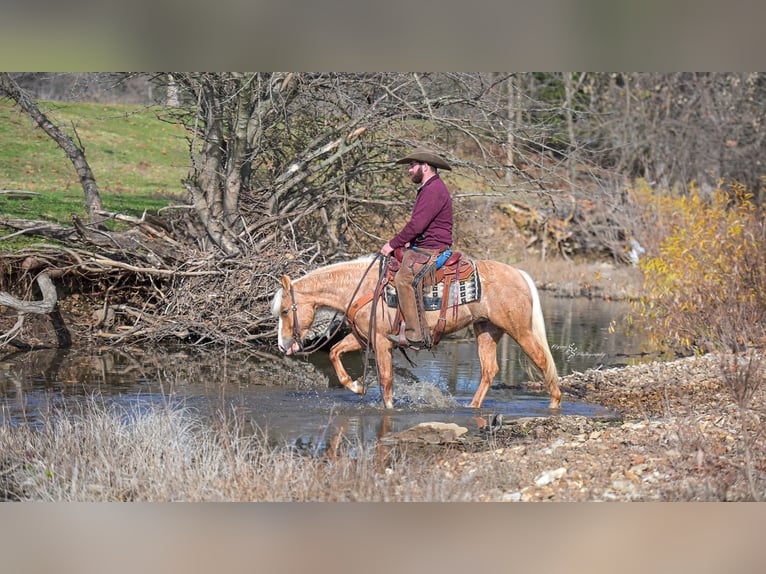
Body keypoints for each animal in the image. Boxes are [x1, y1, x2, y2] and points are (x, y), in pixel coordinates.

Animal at [271, 254, 561, 411]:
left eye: (284, 311)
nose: (283, 346)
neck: (363, 287)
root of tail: (519, 274)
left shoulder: (381, 342)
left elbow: (386, 378)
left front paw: (388, 407)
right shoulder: (363, 338)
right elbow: (333, 352)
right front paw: (356, 386)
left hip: (519, 329)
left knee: (542, 361)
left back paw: (555, 403)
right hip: (487, 331)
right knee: (489, 370)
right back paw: (472, 406)